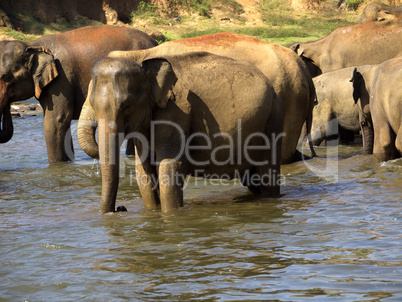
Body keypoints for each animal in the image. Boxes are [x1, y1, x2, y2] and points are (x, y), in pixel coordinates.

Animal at [76, 51, 282, 212]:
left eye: (126, 105)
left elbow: (168, 167)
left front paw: (170, 215)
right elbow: (143, 172)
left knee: (267, 172)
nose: (119, 208)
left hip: (272, 118)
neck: (144, 63)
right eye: (92, 103)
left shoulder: (176, 111)